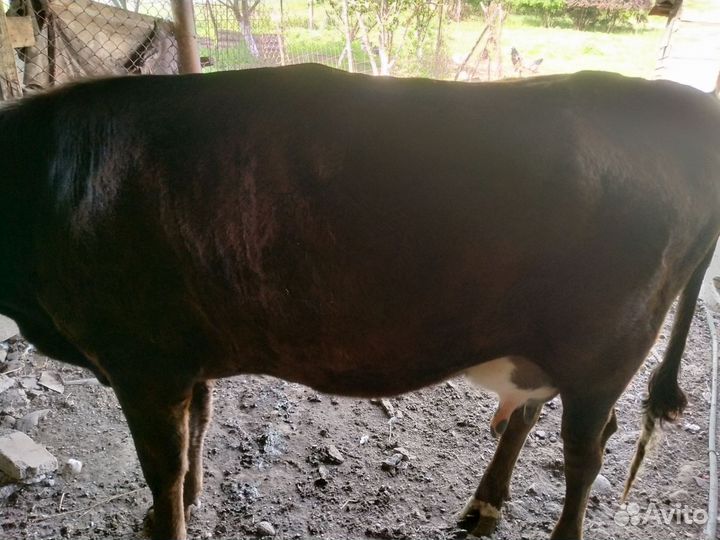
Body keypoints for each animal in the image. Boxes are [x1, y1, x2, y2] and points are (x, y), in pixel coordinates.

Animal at [0, 63, 719, 540]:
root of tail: (678, 102)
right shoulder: (182, 353)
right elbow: (196, 433)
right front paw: (175, 507)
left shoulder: (141, 359)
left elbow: (164, 466)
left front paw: (166, 518)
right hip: (550, 344)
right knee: (532, 412)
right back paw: (484, 504)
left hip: (605, 351)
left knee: (586, 451)